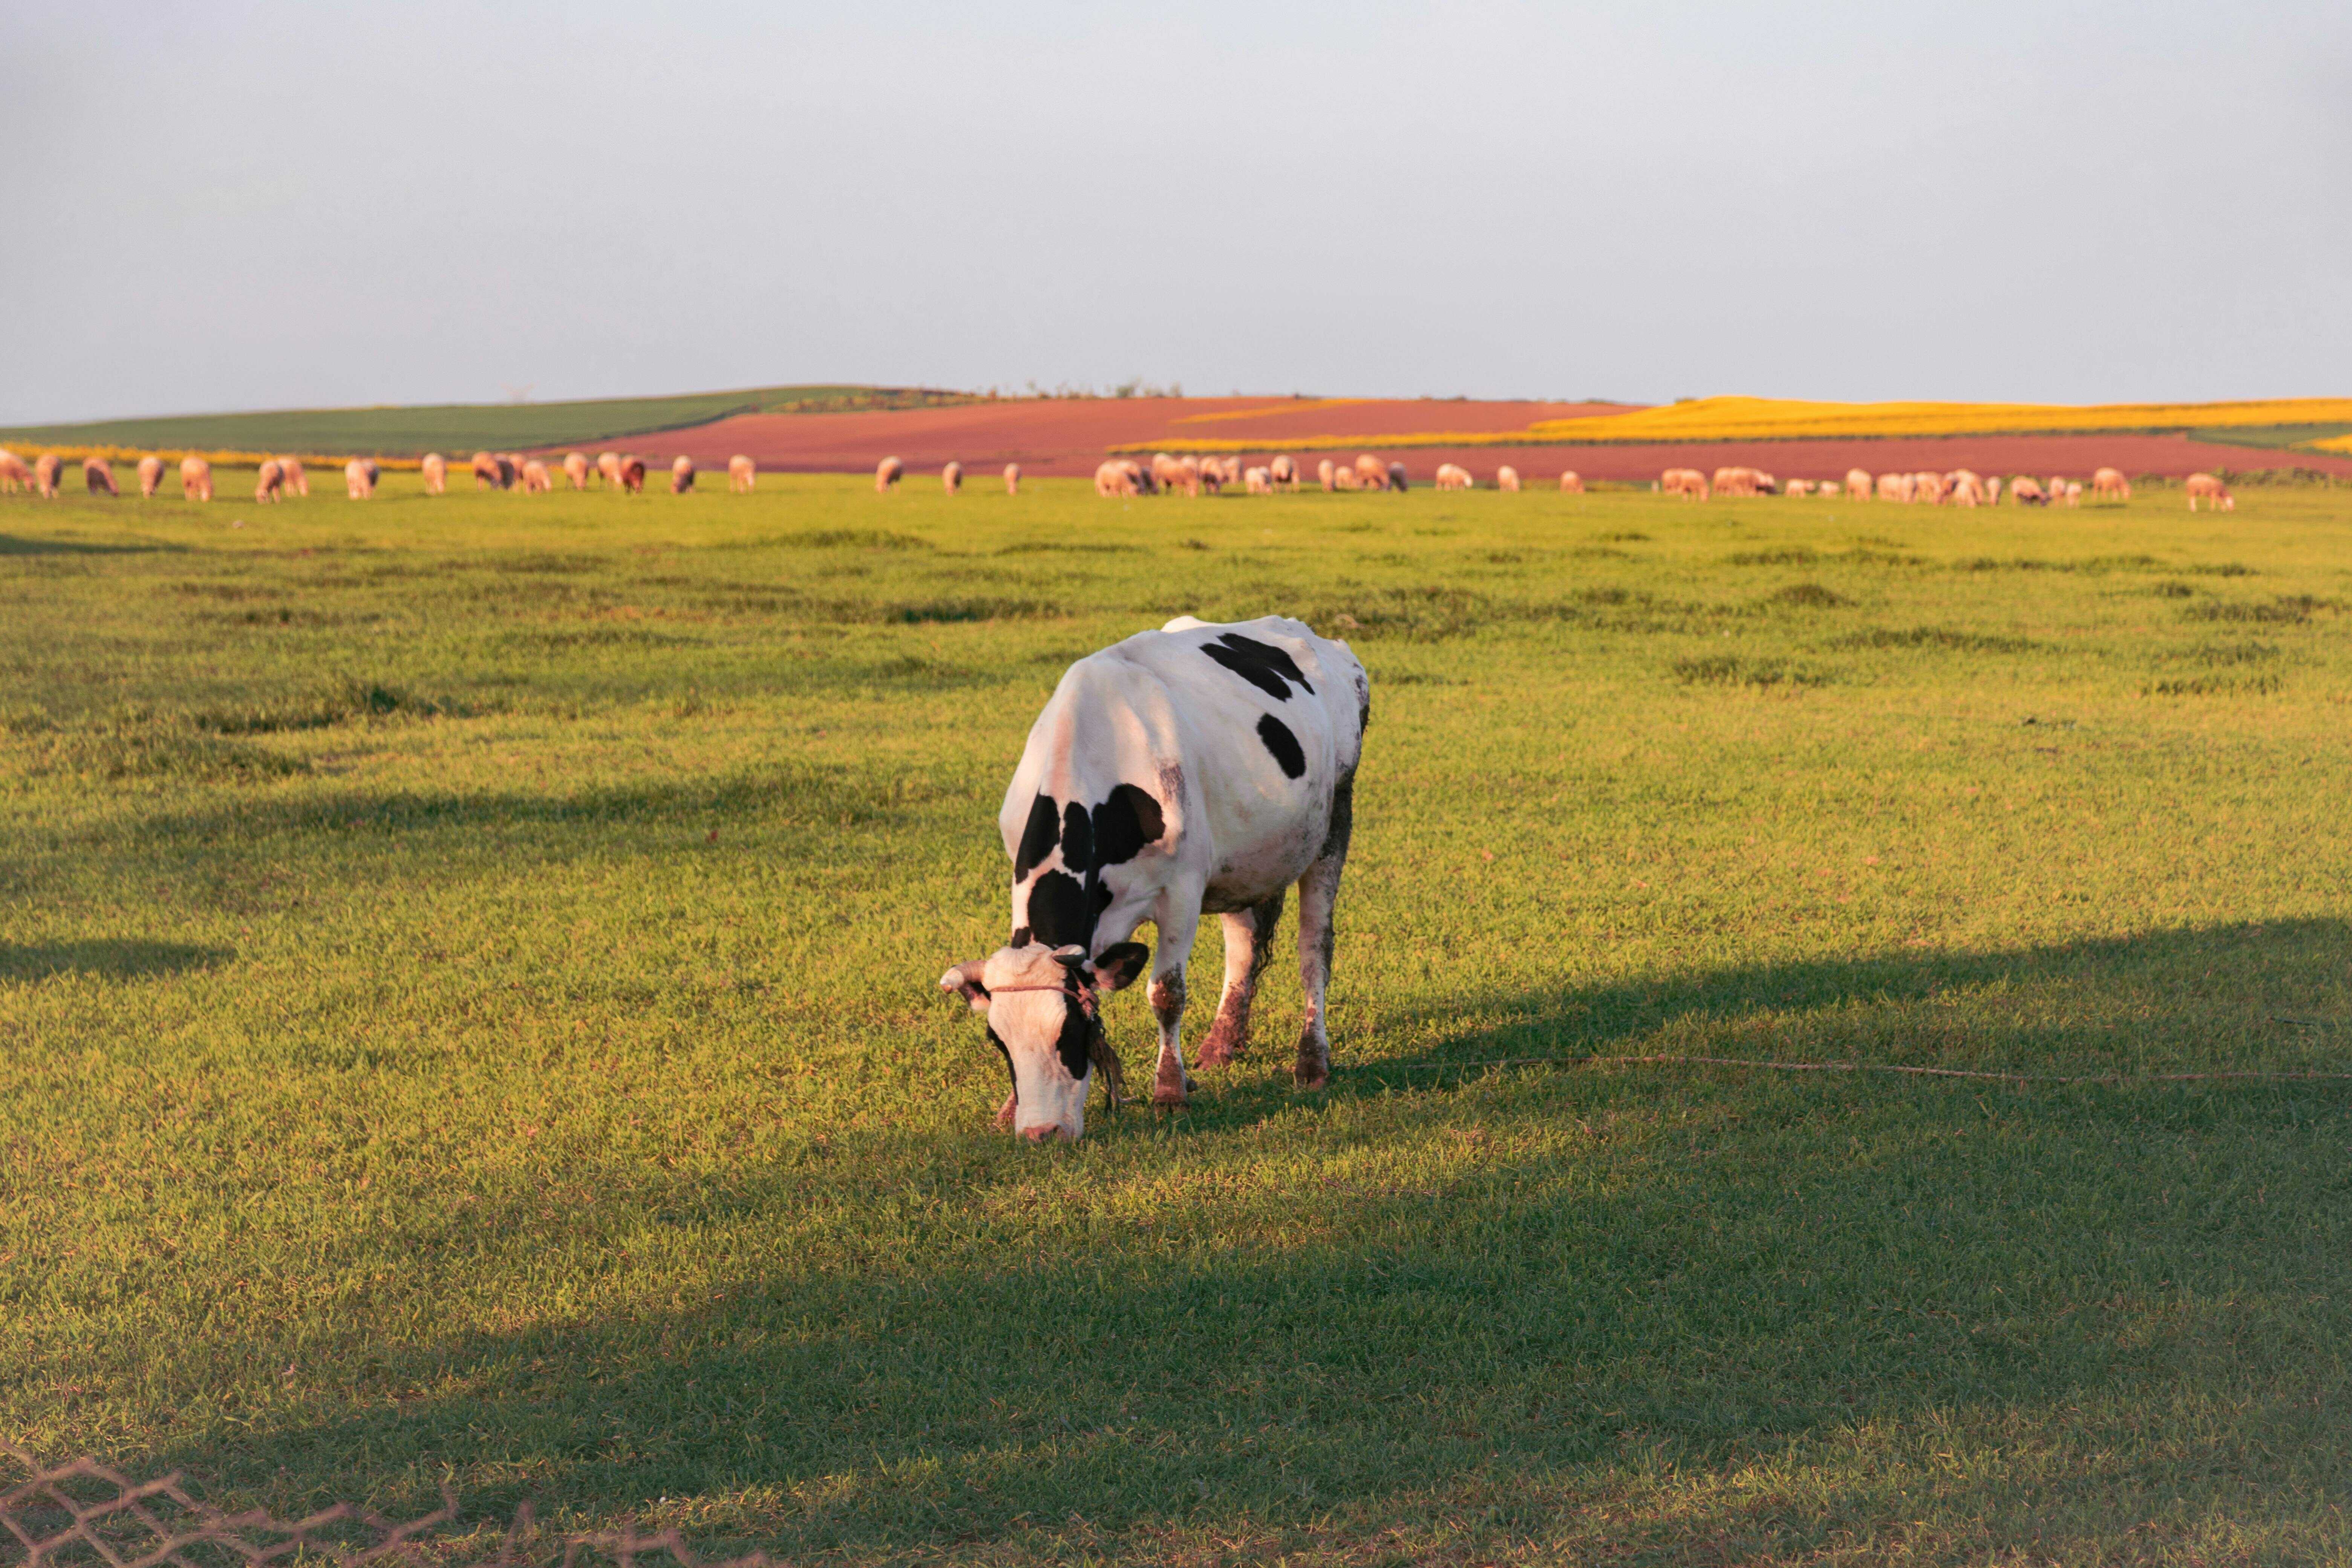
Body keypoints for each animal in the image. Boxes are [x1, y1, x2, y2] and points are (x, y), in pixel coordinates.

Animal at [938, 614, 1369, 1142]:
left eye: (1072, 1033)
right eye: (999, 1042)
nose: (1042, 1133)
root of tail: (1307, 631)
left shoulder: (1182, 889)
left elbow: (1166, 993)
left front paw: (1169, 1090)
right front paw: (1009, 1106)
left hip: (1334, 820)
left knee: (1314, 947)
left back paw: (1311, 1060)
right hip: (1242, 860)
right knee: (1243, 944)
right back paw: (1221, 1044)